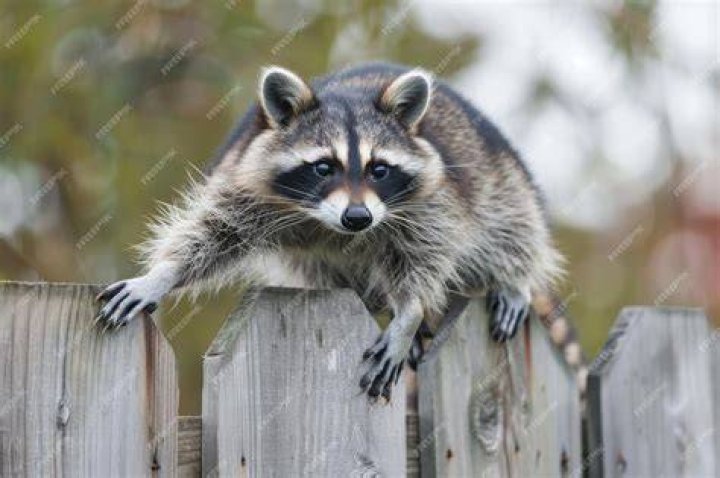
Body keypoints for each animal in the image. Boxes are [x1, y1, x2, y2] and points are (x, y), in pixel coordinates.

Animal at [96, 62, 572, 400]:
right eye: (324, 167)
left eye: (380, 170)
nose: (358, 217)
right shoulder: (245, 182)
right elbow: (215, 233)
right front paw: (162, 275)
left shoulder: (431, 202)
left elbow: (425, 255)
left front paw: (410, 311)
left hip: (500, 173)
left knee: (511, 223)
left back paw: (512, 278)